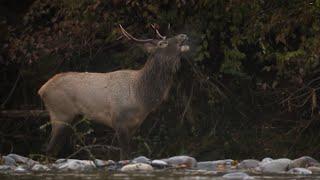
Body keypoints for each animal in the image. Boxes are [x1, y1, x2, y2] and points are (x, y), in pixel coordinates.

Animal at [39, 25, 190, 159]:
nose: (183, 35)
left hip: (72, 117)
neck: (139, 95)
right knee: (49, 148)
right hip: (61, 114)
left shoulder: (135, 125)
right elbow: (124, 155)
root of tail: (42, 90)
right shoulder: (118, 120)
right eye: (162, 43)